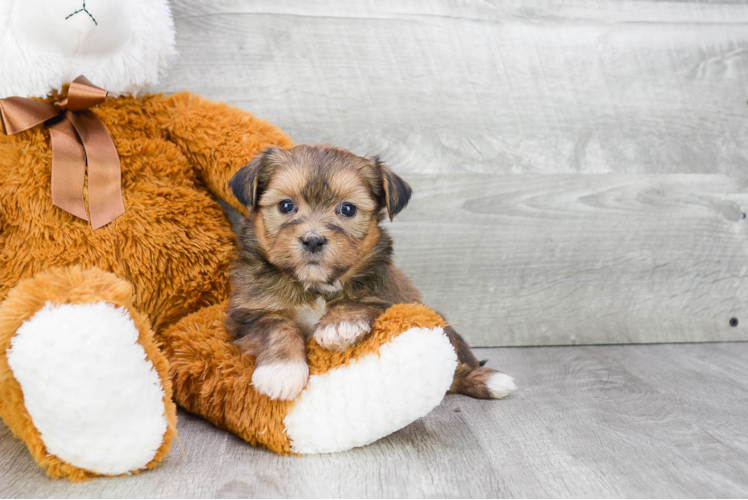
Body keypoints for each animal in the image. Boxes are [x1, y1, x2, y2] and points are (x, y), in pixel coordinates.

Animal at [226, 143, 516, 400]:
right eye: (286, 206)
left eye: (347, 209)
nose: (313, 240)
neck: (317, 285)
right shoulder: (245, 315)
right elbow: (275, 324)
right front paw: (282, 371)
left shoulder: (393, 299)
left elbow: (364, 304)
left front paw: (339, 324)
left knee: (455, 367)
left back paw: (489, 380)